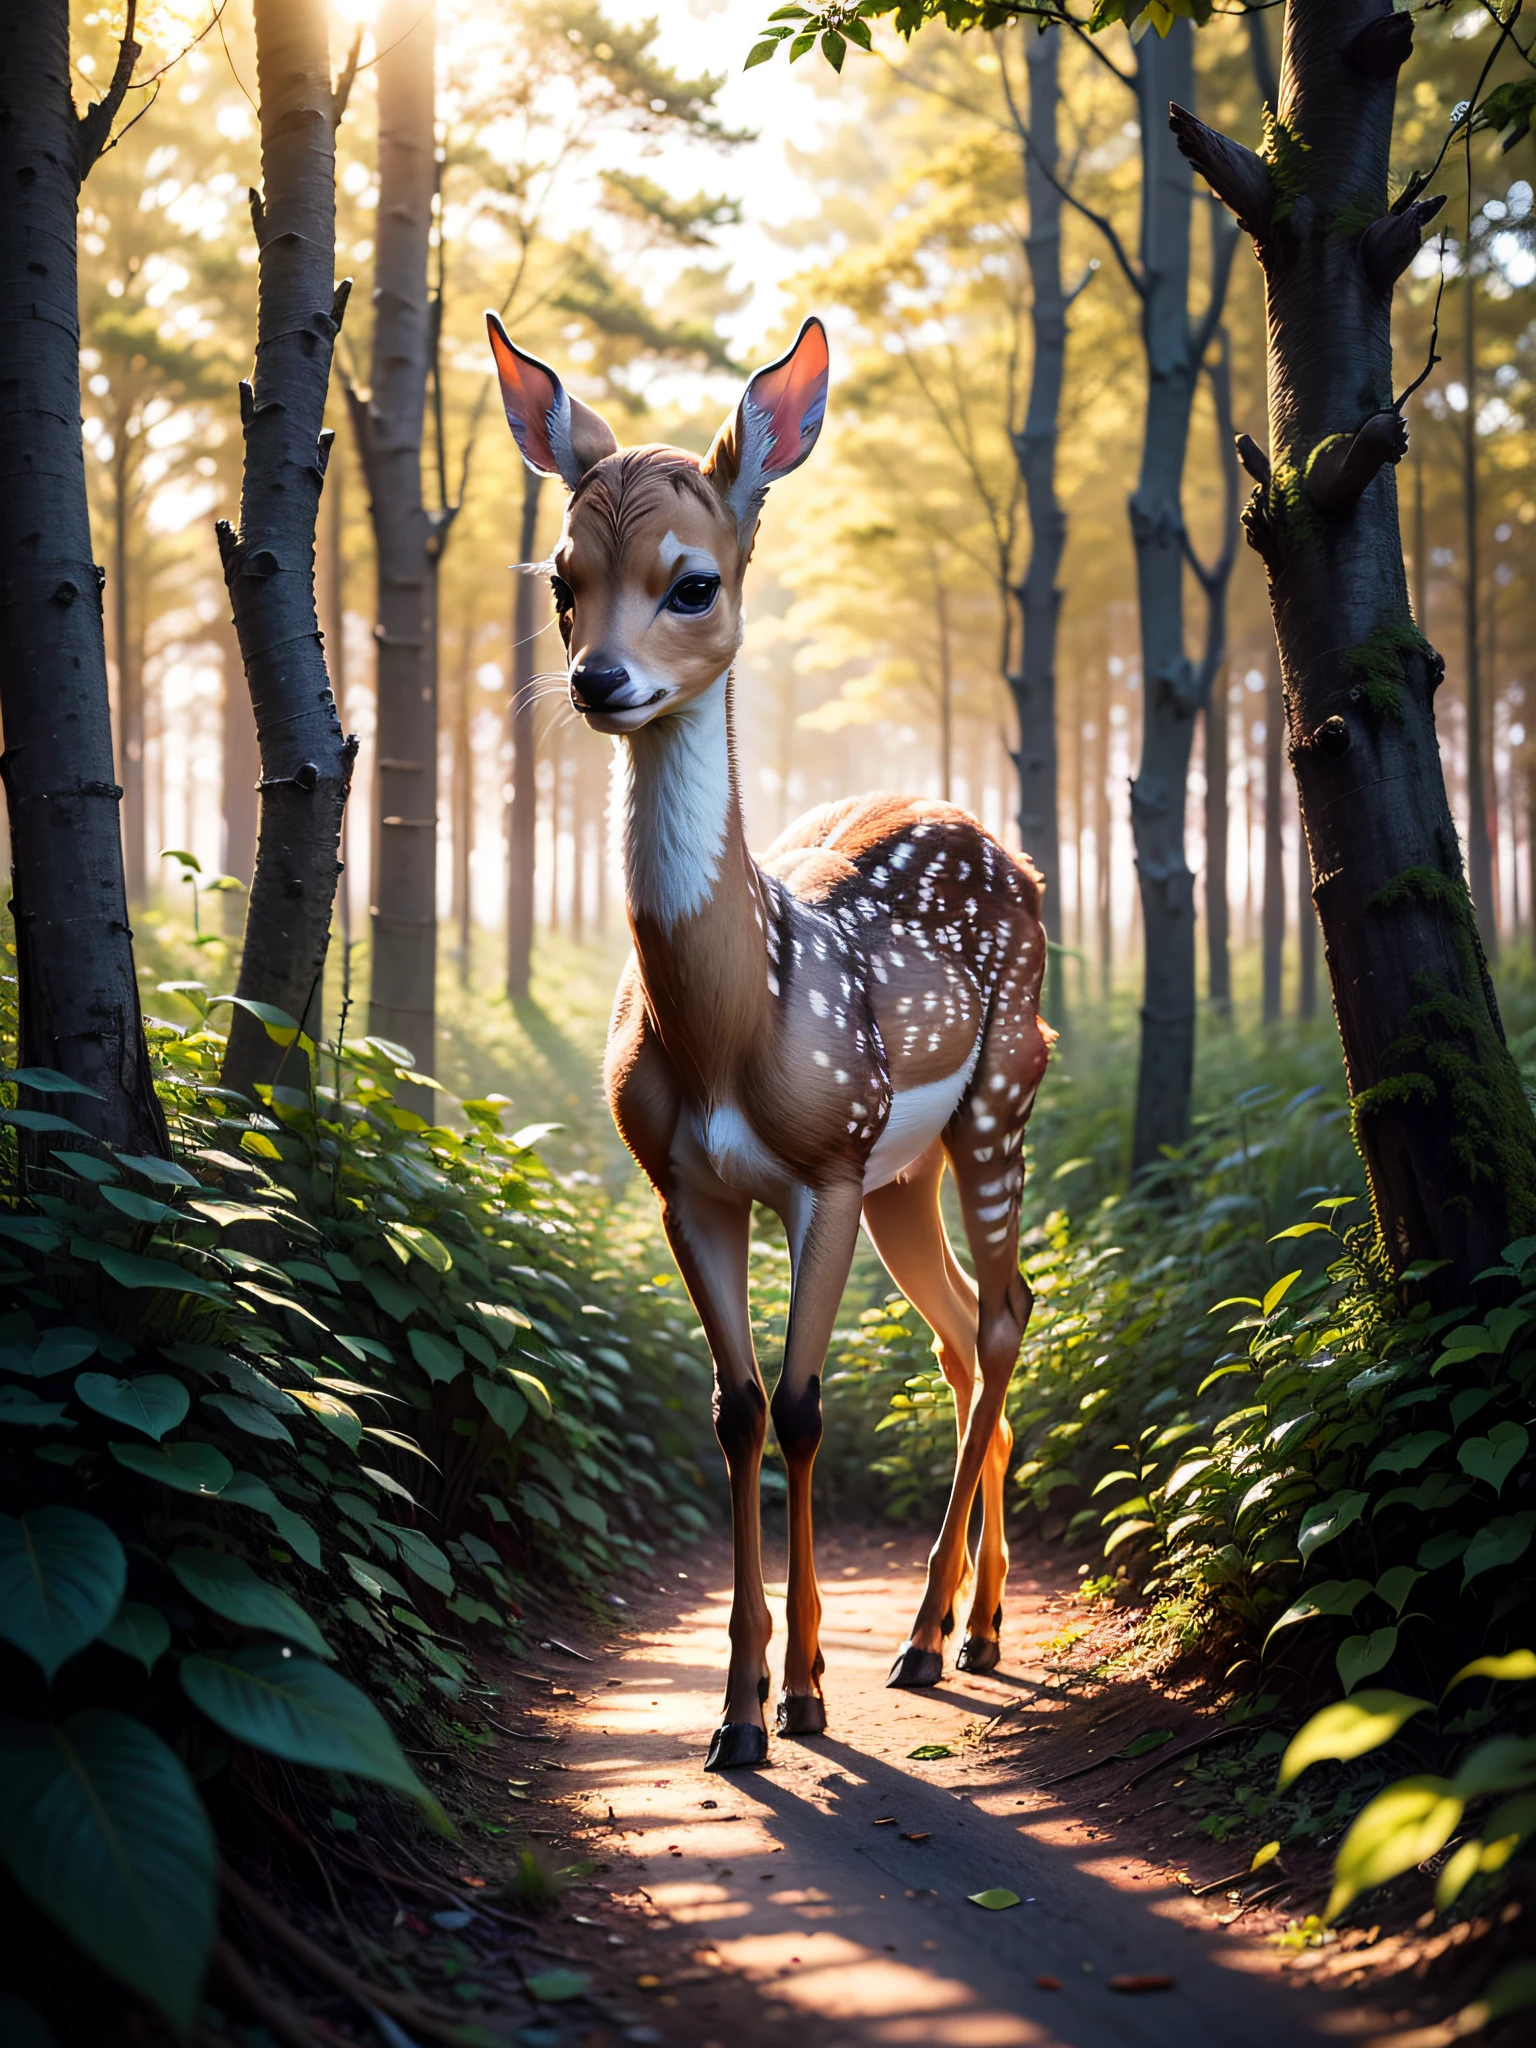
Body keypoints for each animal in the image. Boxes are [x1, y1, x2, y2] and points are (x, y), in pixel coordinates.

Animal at [488, 310, 1052, 1772]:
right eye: (562, 577)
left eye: (692, 582)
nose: (600, 679)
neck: (736, 1022)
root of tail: (1004, 841)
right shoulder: (684, 1185)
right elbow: (736, 1411)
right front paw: (738, 1712)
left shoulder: (826, 1165)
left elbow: (802, 1408)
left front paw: (804, 1694)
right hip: (909, 1171)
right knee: (960, 1332)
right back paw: (976, 1624)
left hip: (996, 1099)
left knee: (1008, 1313)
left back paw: (924, 1638)